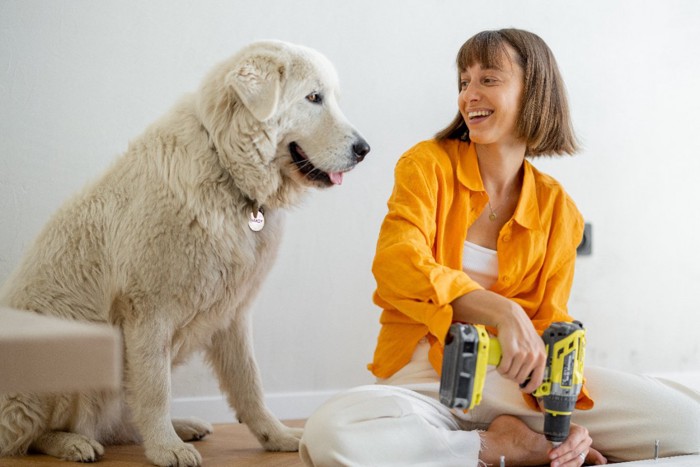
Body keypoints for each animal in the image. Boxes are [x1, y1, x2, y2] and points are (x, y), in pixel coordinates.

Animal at [0, 41, 370, 467]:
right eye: (313, 98)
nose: (365, 149)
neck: (225, 167)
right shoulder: (148, 314)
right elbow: (156, 390)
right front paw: (165, 449)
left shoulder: (234, 314)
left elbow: (250, 384)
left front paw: (274, 436)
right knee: (27, 436)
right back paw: (72, 443)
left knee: (117, 424)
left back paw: (184, 426)